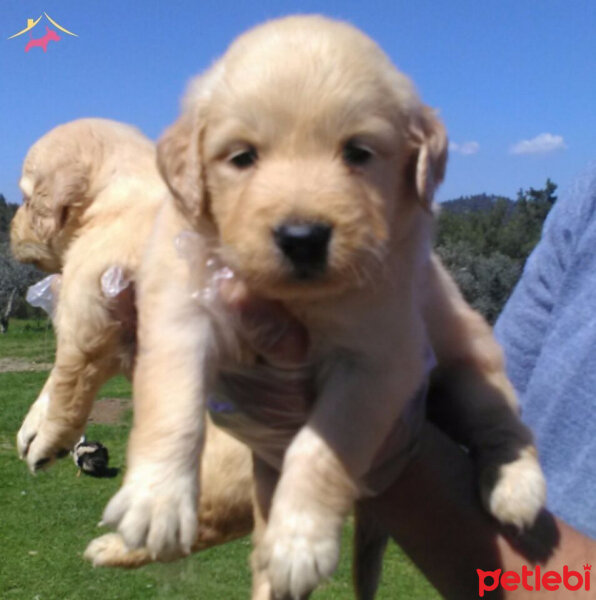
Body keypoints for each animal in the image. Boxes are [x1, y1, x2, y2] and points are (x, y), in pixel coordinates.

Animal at [11, 120, 253, 568]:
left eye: (25, 197)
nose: (9, 228)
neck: (114, 198)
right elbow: (54, 383)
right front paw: (29, 431)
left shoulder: (89, 311)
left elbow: (68, 381)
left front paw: (48, 442)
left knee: (196, 522)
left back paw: (108, 550)